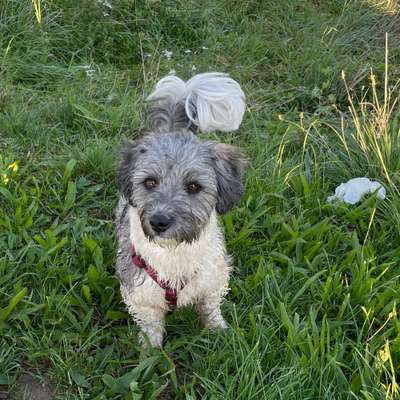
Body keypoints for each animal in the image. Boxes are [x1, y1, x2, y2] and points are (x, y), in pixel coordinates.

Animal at [112, 72, 248, 346]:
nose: (159, 222)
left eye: (194, 186)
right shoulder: (140, 291)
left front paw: (218, 332)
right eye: (149, 182)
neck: (175, 254)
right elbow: (151, 324)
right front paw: (150, 350)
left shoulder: (213, 278)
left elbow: (210, 308)